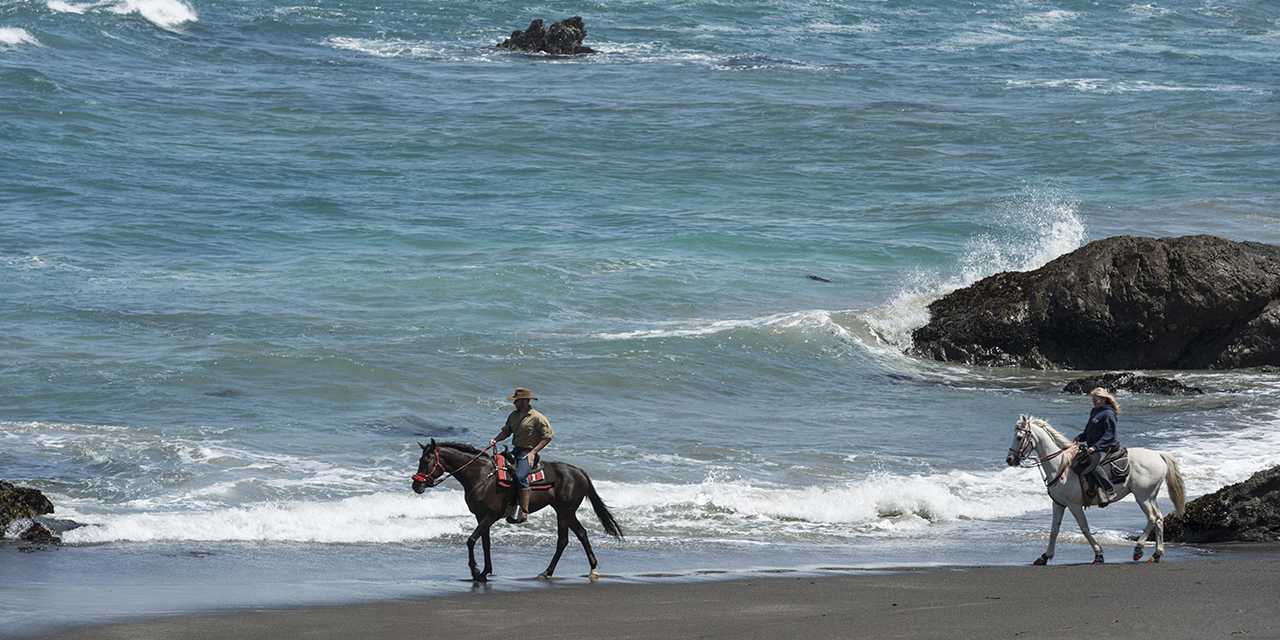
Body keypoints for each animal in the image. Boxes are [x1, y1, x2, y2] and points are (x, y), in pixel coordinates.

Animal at [409, 440, 624, 581]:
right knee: (569, 538)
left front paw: (475, 571)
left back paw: (586, 570)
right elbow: (485, 543)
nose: (416, 486)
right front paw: (485, 572)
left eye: (427, 460)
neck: (481, 476)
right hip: (561, 511)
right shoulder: (480, 516)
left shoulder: (490, 516)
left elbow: (471, 540)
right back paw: (550, 572)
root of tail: (579, 472)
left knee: (576, 536)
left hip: (566, 511)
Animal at [1003, 417, 1182, 563]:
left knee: (1152, 518)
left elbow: (1084, 528)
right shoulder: (1059, 504)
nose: (1010, 459)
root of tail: (1158, 455)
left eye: (1019, 437)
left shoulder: (1074, 505)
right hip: (1151, 496)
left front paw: (1098, 554)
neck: (1060, 466)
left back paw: (1138, 549)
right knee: (1159, 519)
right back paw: (1157, 554)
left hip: (1142, 497)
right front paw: (1044, 556)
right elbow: (1054, 530)